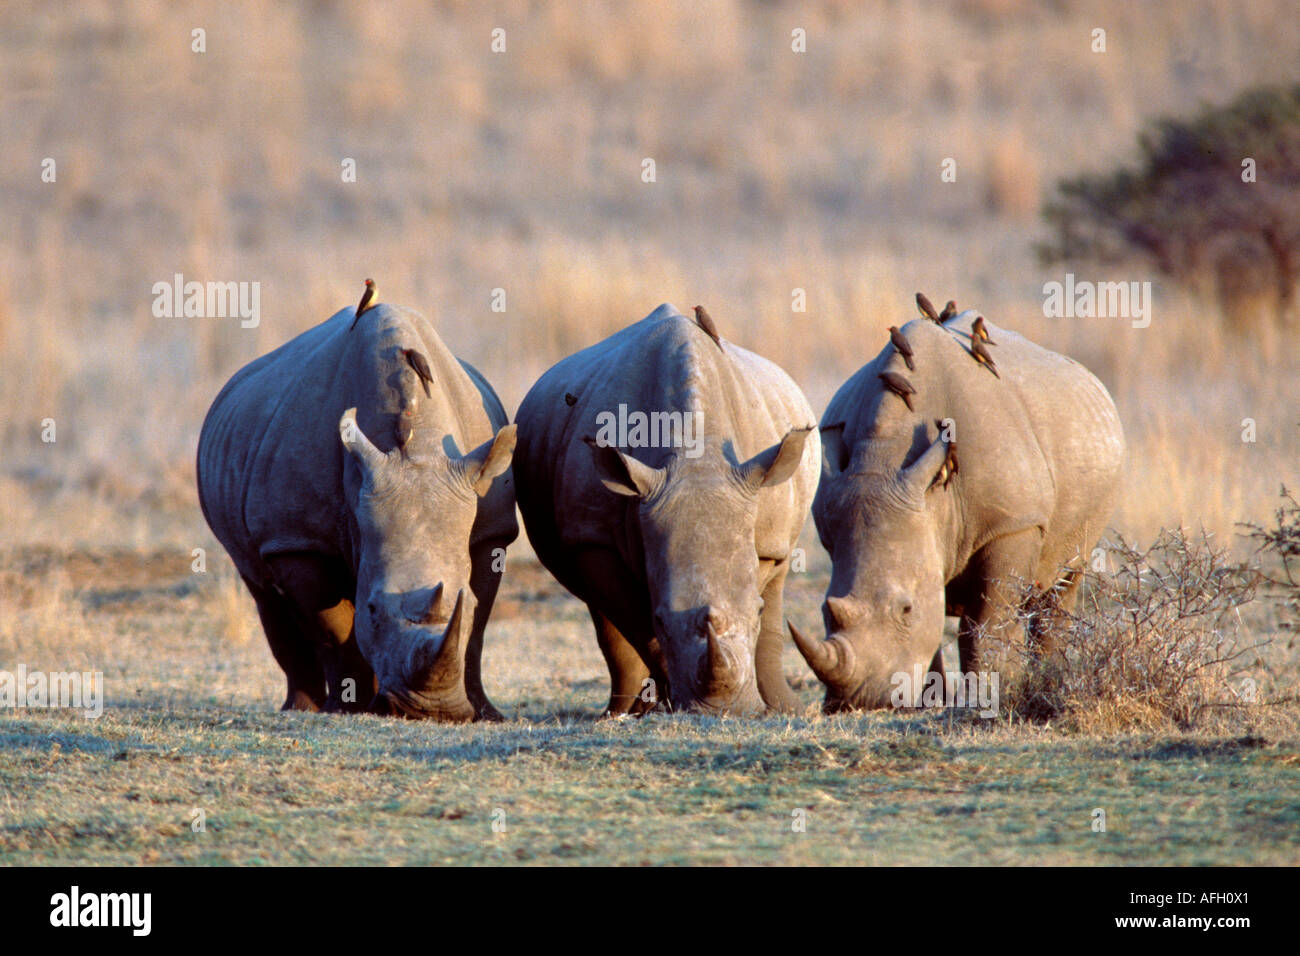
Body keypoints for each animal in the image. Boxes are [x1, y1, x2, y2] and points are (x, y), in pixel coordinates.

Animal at [195, 303, 514, 723]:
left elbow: (476, 628)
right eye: (373, 608)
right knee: (263, 591)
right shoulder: (300, 540)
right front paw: (347, 708)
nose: (430, 710)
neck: (420, 444)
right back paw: (303, 708)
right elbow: (333, 627)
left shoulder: (491, 530)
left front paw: (485, 713)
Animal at [512, 303, 816, 712]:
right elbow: (638, 627)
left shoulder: (761, 522)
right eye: (662, 619)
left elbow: (764, 599)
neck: (696, 456)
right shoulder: (593, 538)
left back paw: (783, 707)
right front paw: (666, 704)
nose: (726, 712)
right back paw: (620, 713)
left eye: (755, 612)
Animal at [790, 310, 1128, 707]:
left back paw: (1047, 674)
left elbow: (989, 617)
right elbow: (933, 619)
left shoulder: (1013, 524)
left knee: (1062, 582)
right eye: (825, 611)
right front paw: (928, 701)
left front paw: (989, 692)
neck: (882, 458)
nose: (862, 700)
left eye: (905, 609)